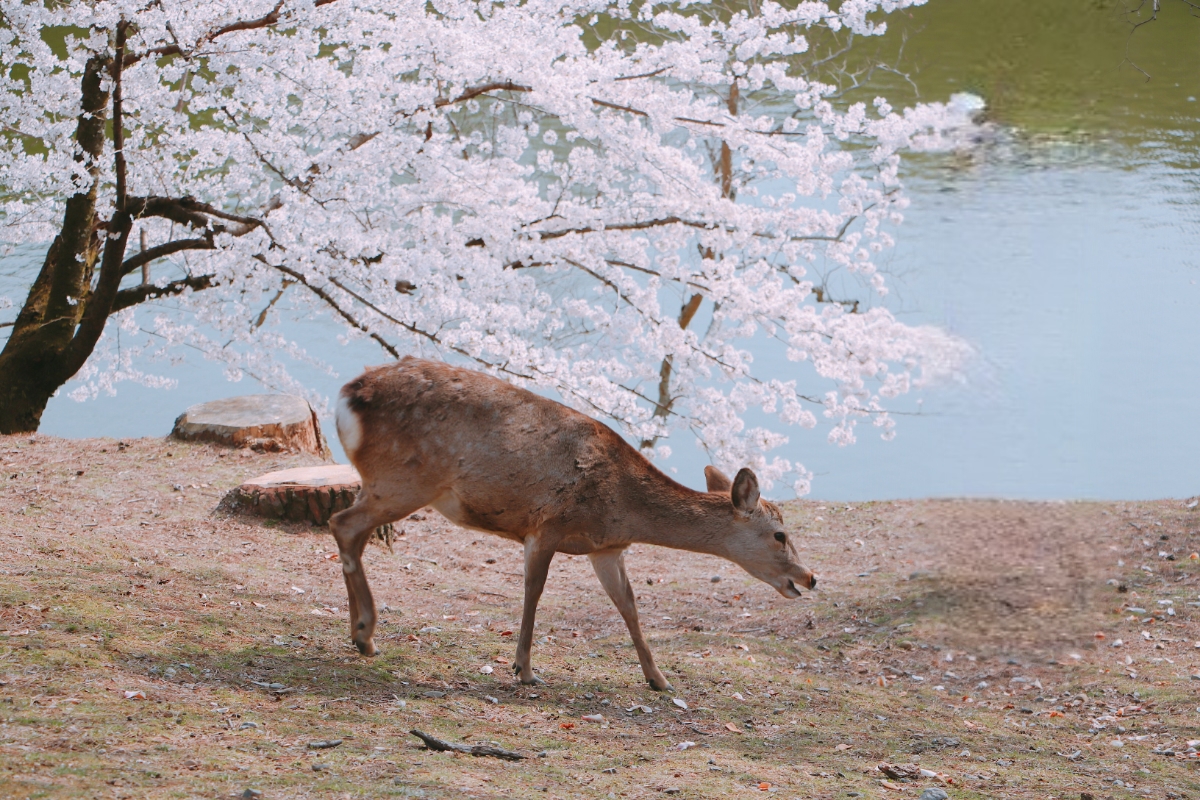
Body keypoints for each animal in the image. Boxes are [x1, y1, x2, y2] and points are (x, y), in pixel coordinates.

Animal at [328, 357, 816, 690]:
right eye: (779, 534)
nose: (810, 577)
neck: (622, 505)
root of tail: (347, 397)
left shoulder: (607, 549)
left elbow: (629, 606)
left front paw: (658, 679)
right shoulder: (546, 526)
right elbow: (534, 592)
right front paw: (524, 670)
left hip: (380, 482)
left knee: (349, 531)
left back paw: (357, 633)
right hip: (404, 480)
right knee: (343, 524)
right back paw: (367, 635)